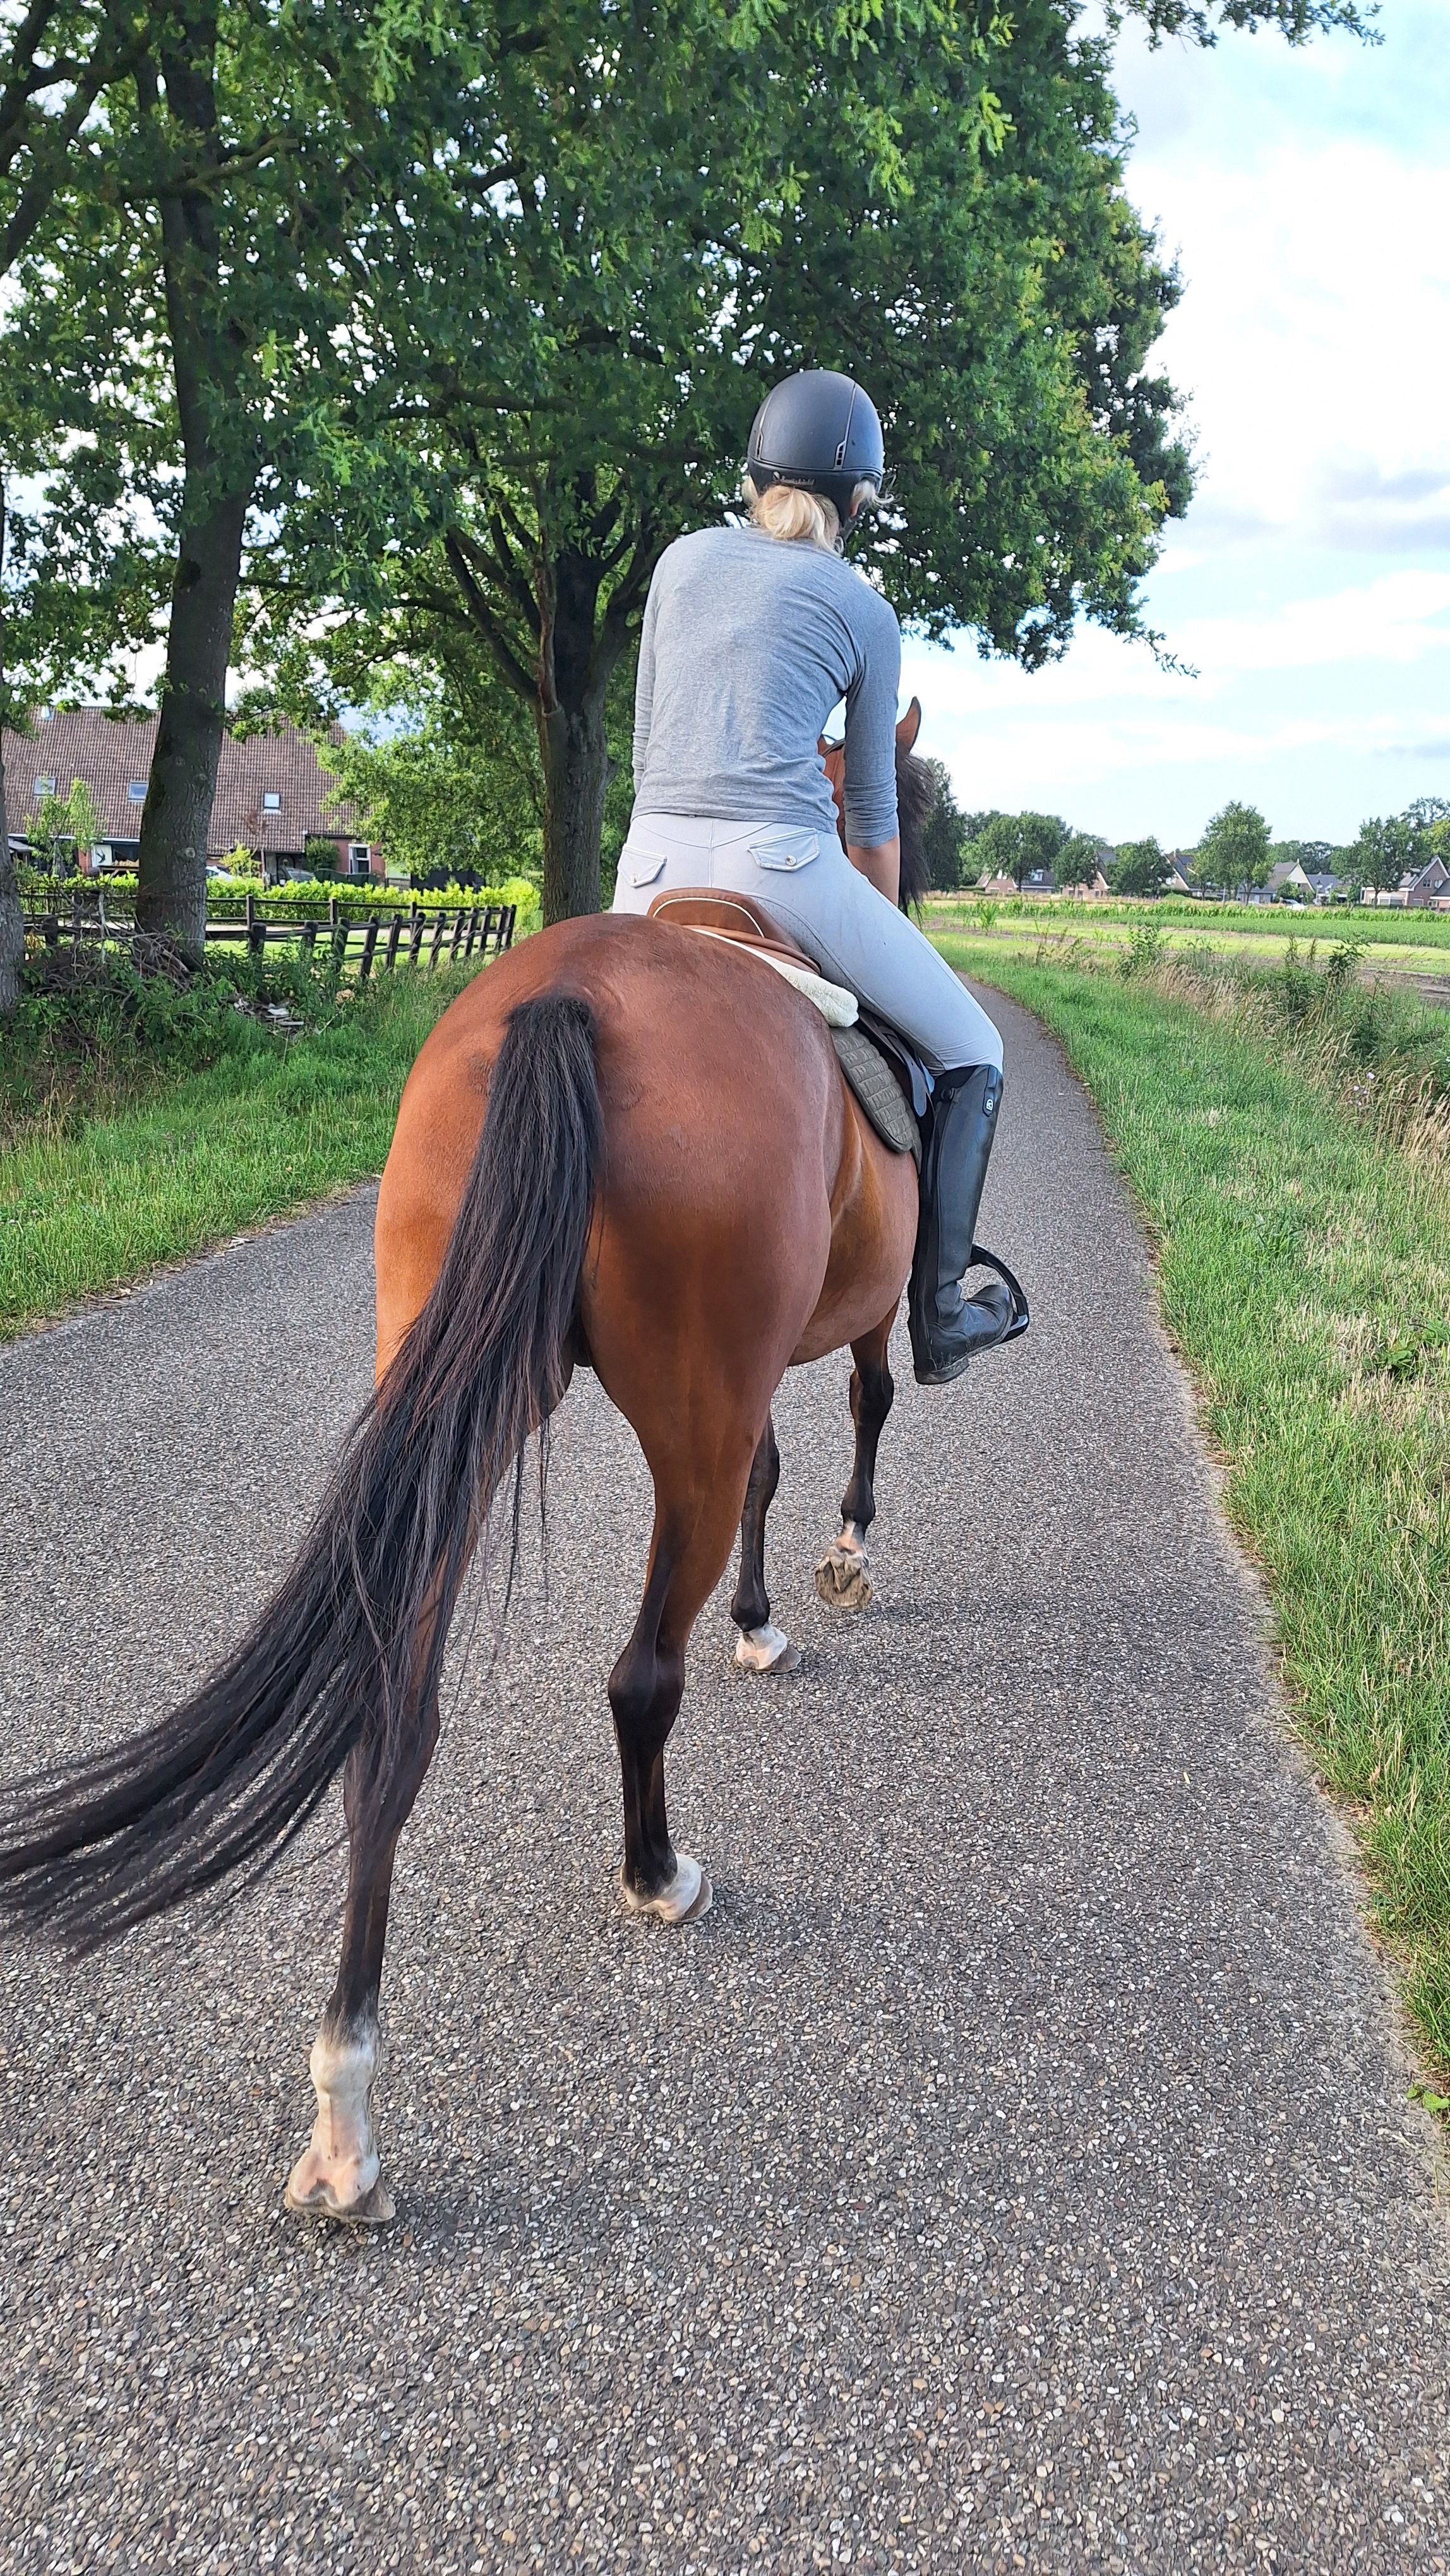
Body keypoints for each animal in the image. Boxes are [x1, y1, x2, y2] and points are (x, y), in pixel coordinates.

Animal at [0, 705, 947, 2226]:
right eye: (900, 801)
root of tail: (570, 1002)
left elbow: (780, 1466)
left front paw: (764, 1615)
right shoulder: (838, 1326)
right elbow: (851, 1422)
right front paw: (827, 1575)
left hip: (460, 1398)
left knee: (393, 1717)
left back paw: (345, 2117)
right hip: (680, 1409)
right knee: (639, 1674)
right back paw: (655, 1875)